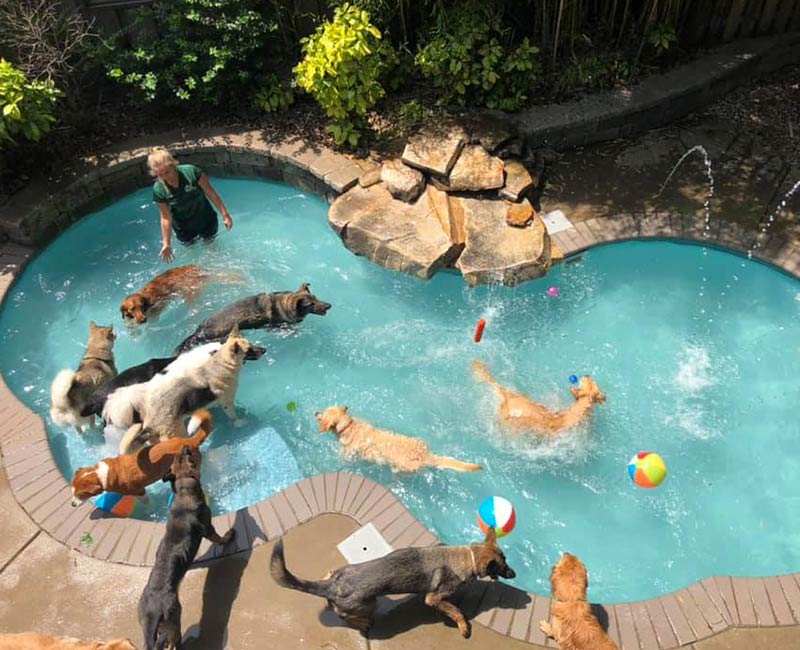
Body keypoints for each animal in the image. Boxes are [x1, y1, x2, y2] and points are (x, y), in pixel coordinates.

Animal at [138, 442, 234, 644]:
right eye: (188, 455)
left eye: (177, 457)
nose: (185, 445)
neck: (183, 490)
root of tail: (152, 613)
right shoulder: (208, 528)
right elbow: (219, 538)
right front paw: (228, 536)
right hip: (175, 619)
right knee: (172, 641)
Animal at [173, 280, 330, 352]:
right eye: (311, 304)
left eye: (316, 298)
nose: (329, 305)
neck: (284, 304)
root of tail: (199, 331)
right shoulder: (276, 326)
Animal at [272, 524, 516, 636]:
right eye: (504, 565)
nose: (514, 574)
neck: (467, 557)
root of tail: (332, 586)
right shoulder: (433, 598)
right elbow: (455, 611)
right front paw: (463, 625)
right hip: (369, 603)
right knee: (343, 615)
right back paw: (361, 623)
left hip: (343, 576)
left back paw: (328, 574)